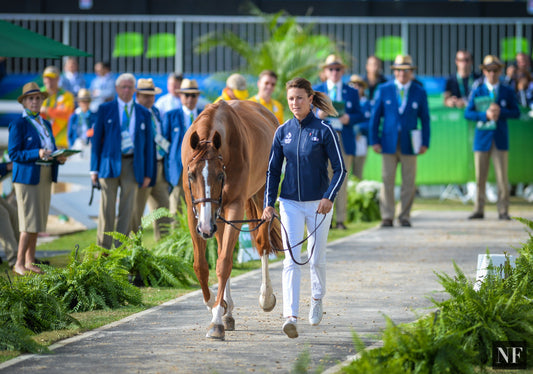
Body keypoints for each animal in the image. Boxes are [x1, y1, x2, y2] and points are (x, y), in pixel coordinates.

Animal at [182, 98, 282, 338]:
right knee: (220, 247)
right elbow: (201, 265)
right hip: (216, 216)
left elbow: (225, 262)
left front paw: (217, 319)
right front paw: (217, 305)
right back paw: (228, 311)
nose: (205, 228)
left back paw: (265, 297)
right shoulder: (195, 211)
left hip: (259, 195)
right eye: (191, 175)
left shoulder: (235, 206)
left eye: (220, 175)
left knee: (262, 243)